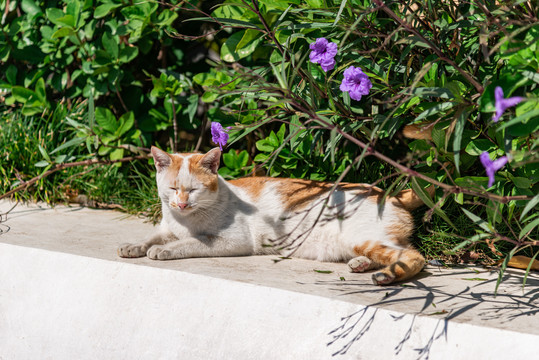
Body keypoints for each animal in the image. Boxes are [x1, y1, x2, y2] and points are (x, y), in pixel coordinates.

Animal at [119, 146, 434, 284]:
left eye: (194, 189)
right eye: (173, 189)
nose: (182, 204)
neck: (185, 221)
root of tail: (390, 193)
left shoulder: (232, 241)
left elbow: (189, 243)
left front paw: (164, 250)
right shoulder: (167, 226)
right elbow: (152, 235)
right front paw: (134, 246)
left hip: (364, 238)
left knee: (415, 257)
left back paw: (386, 276)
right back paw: (361, 264)